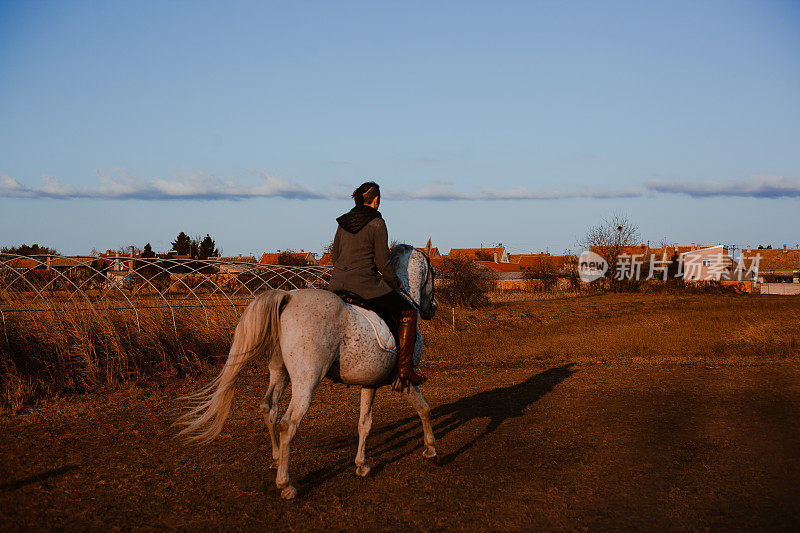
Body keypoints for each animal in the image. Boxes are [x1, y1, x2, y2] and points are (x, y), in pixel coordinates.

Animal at [177, 241, 438, 498]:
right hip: (307, 380)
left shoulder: (369, 382)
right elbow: (424, 409)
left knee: (269, 407)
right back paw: (286, 484)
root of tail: (288, 298)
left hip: (280, 372)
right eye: (433, 273)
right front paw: (431, 449)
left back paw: (276, 458)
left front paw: (361, 465)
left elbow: (365, 423)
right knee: (288, 423)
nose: (432, 307)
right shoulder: (406, 378)